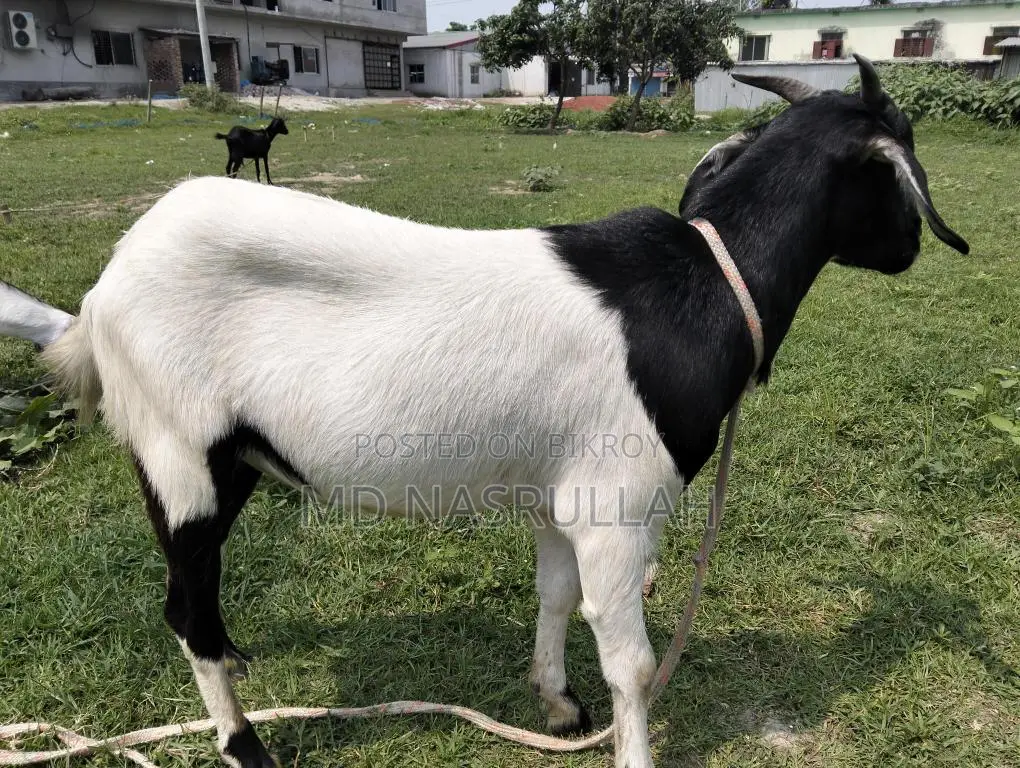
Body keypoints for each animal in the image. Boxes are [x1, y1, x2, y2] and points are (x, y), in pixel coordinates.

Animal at [1, 56, 968, 768]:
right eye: (899, 168)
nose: (914, 250)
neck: (702, 286)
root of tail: (99, 299)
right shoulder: (617, 503)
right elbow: (632, 660)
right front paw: (626, 744)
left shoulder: (558, 495)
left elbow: (553, 595)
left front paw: (558, 703)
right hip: (179, 454)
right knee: (184, 609)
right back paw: (245, 744)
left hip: (232, 458)